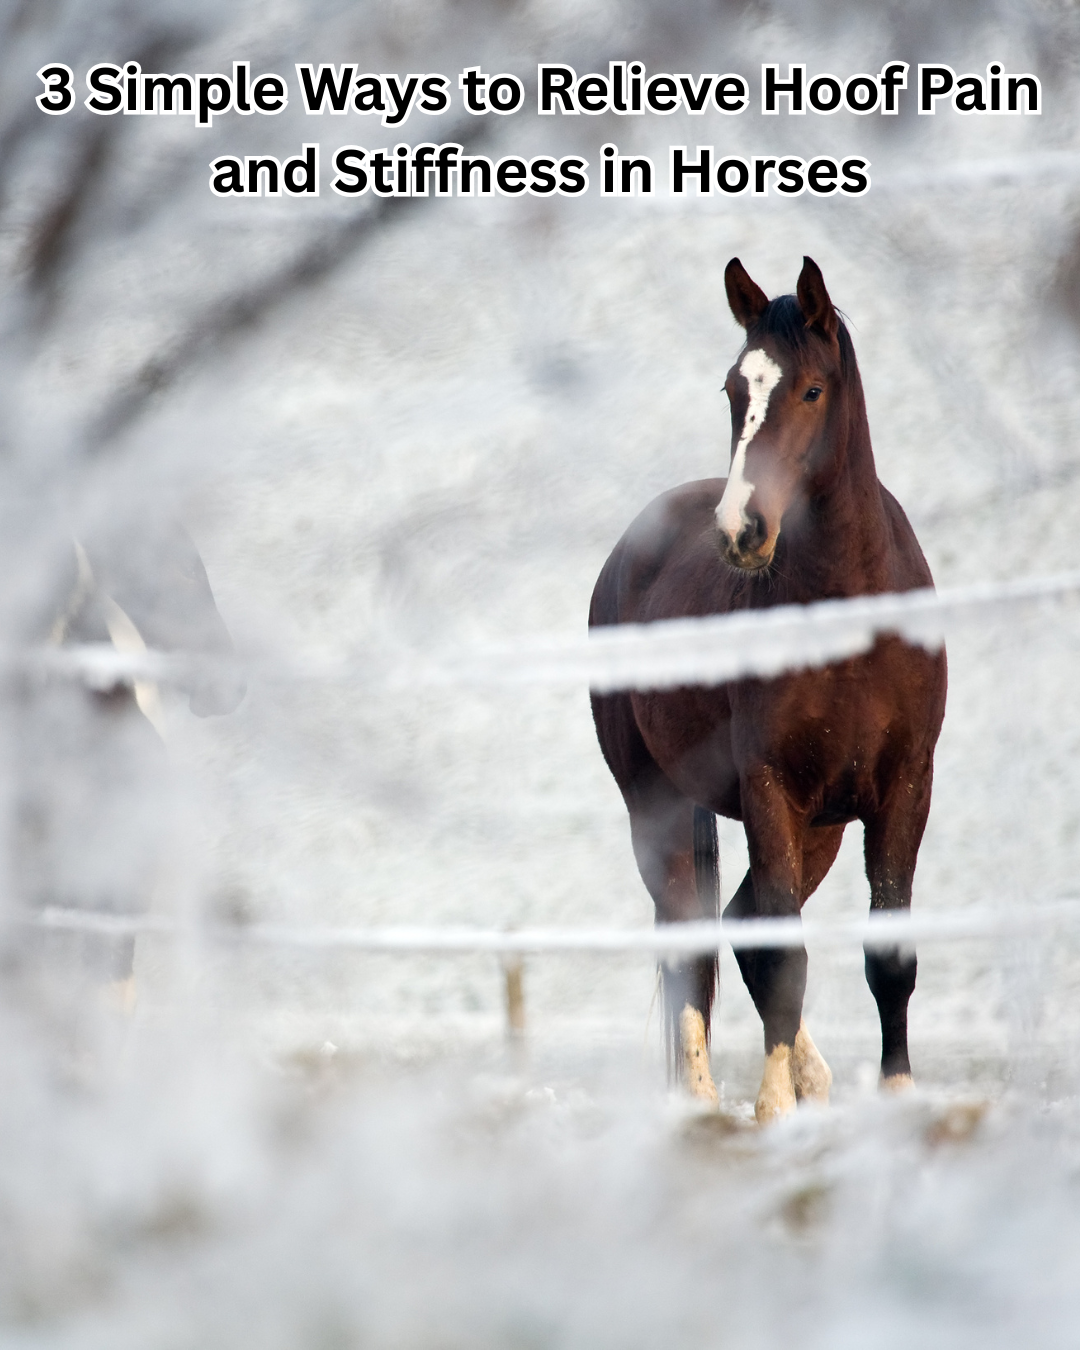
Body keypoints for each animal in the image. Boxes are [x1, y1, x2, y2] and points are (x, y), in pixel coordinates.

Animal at [589, 258, 947, 1122]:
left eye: (812, 390)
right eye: (732, 390)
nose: (742, 530)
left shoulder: (903, 789)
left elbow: (888, 953)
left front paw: (894, 1094)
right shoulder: (770, 789)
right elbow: (782, 952)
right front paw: (773, 1107)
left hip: (819, 826)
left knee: (739, 918)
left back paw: (811, 1077)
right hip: (656, 805)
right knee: (691, 934)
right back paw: (701, 1098)